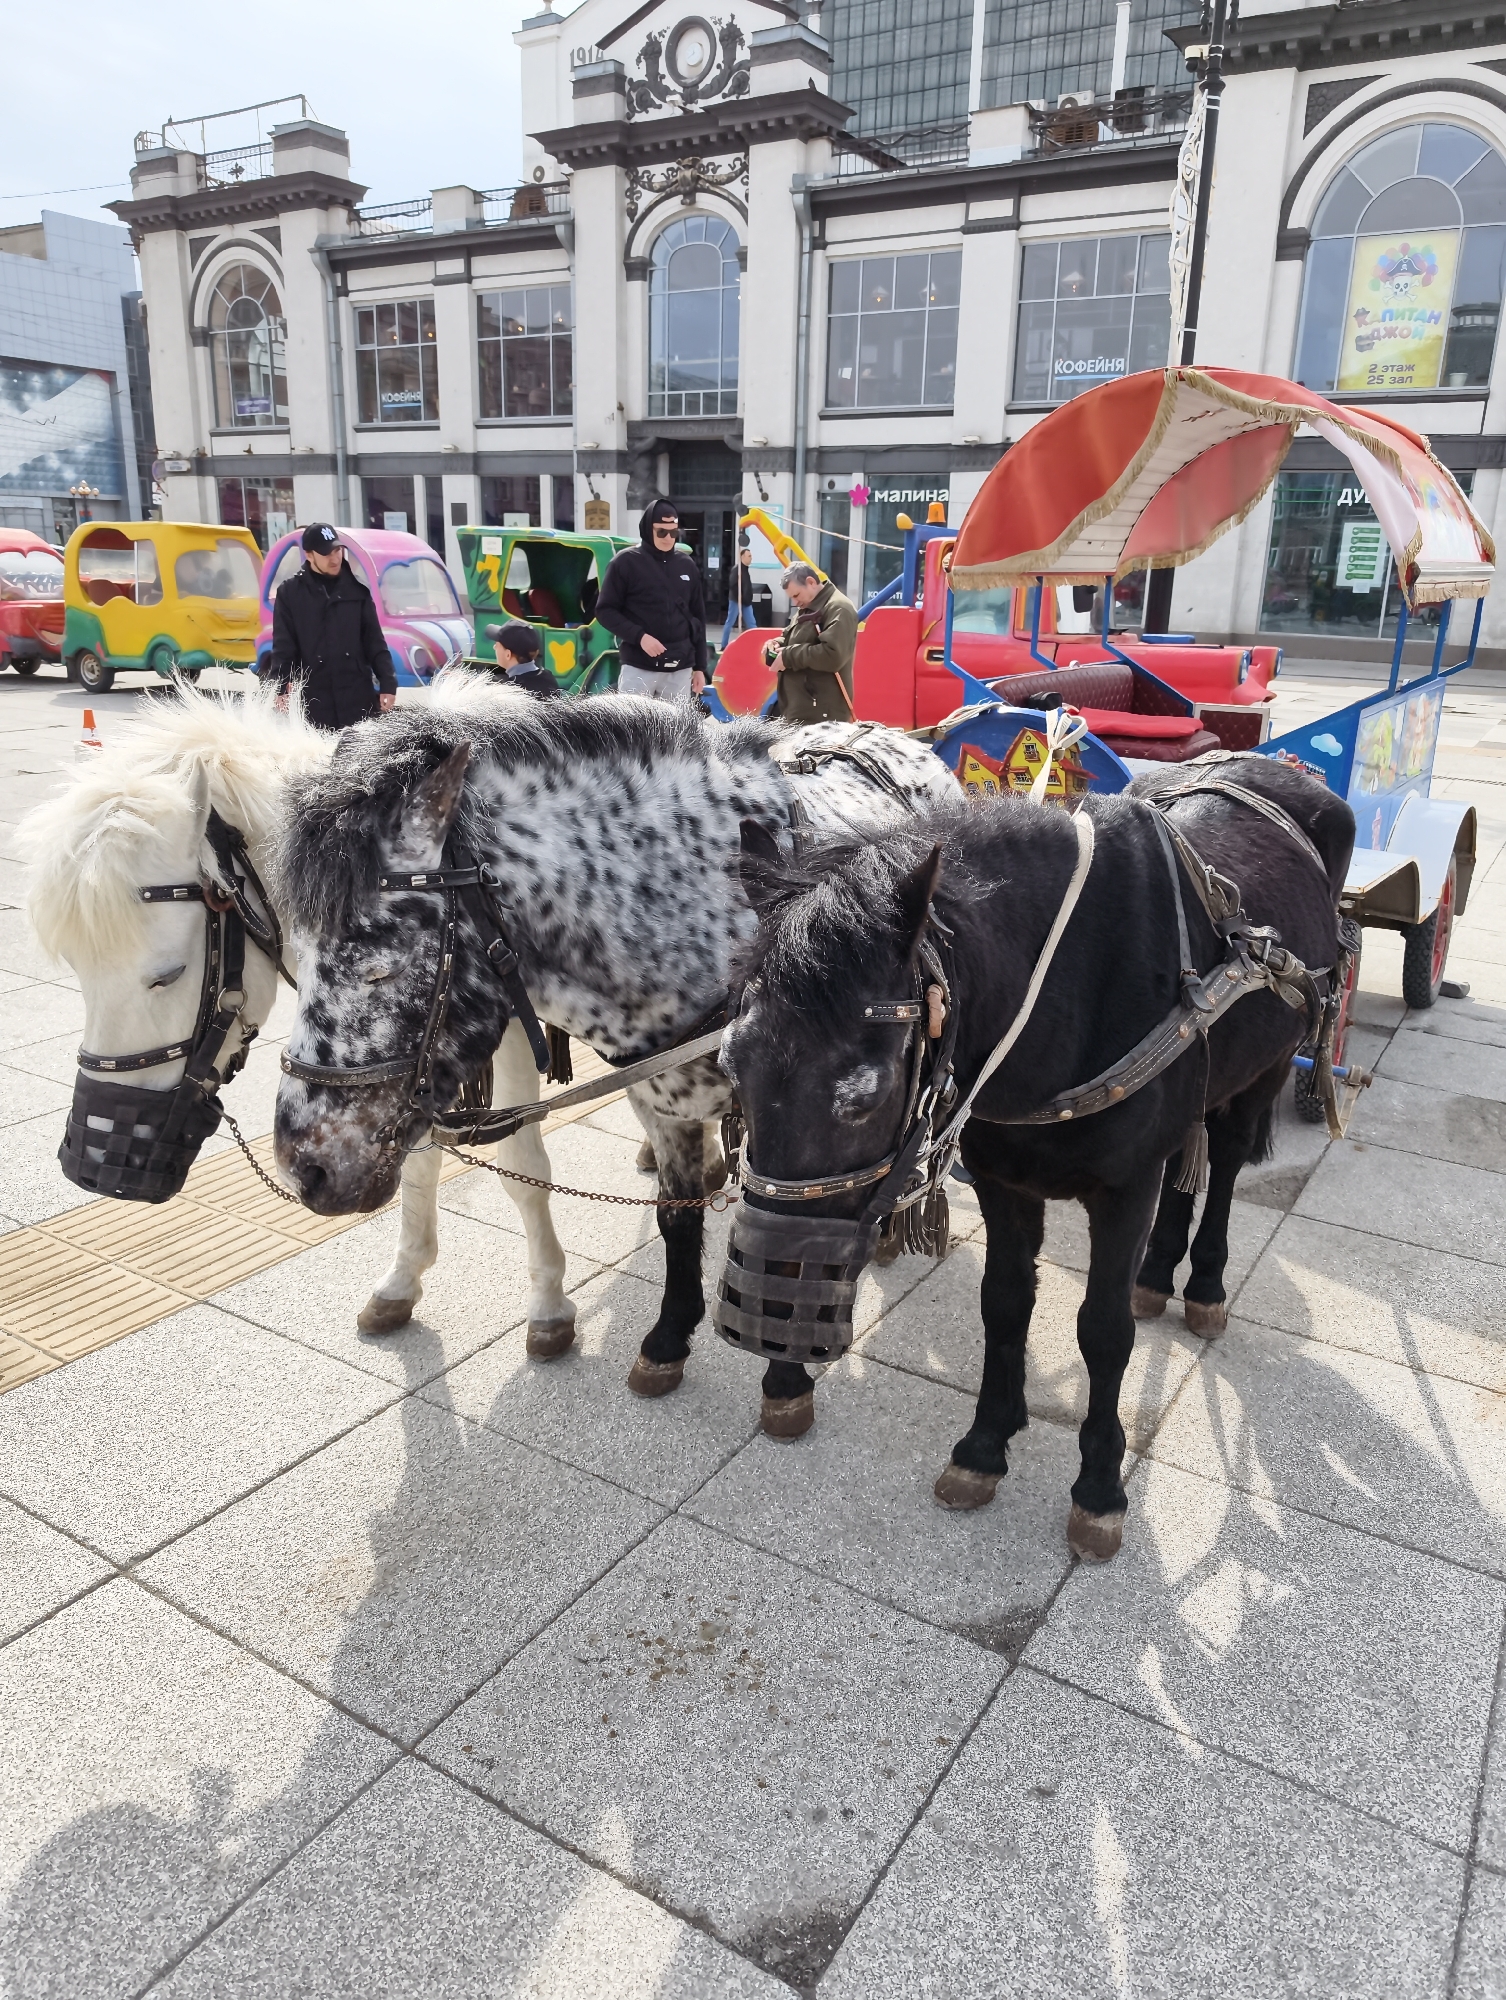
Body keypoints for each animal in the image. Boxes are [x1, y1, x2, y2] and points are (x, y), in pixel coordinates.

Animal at [21, 680, 577, 1347]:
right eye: (77, 972)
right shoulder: (409, 1062)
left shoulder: (503, 1031)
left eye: (167, 975)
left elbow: (521, 1166)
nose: (96, 1164)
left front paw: (548, 1301)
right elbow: (415, 1161)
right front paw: (402, 1281)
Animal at [269, 689, 956, 1421]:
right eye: (296, 956)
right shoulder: (661, 1101)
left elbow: (791, 1227)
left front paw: (787, 1376)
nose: (303, 1168)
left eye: (378, 963)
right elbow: (676, 1220)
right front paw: (668, 1341)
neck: (693, 903)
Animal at [716, 754, 1354, 1559]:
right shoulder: (1003, 1180)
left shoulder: (1124, 1188)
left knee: (1229, 1160)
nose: (761, 1317)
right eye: (732, 1065)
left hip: (1268, 1066)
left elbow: (1102, 1331)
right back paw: (1158, 1274)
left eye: (864, 1095)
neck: (1060, 995)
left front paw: (1100, 1488)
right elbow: (1005, 1303)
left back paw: (1204, 1283)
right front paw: (985, 1446)